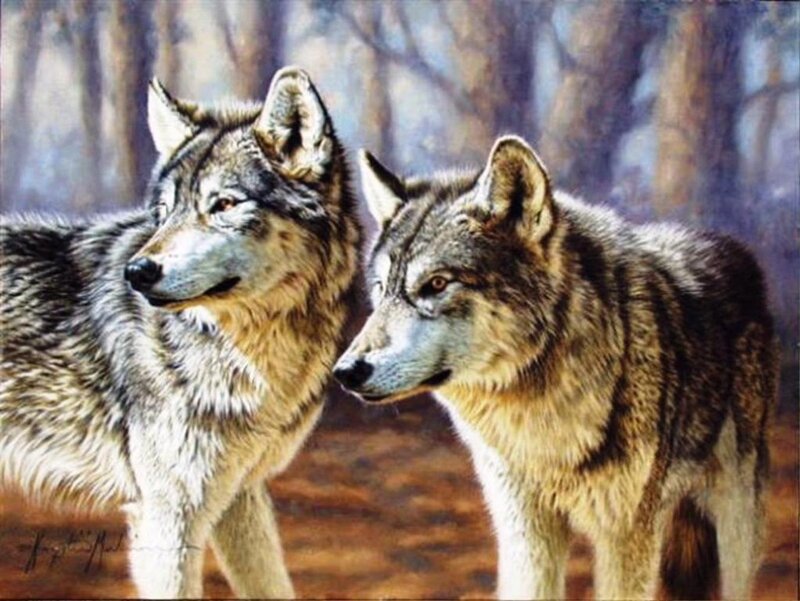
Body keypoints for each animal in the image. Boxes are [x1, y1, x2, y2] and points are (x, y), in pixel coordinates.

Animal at [0, 67, 360, 598]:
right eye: (166, 211)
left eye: (224, 204)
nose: (137, 272)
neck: (248, 355)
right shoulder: (167, 516)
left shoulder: (240, 497)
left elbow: (272, 585)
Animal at [334, 135, 777, 599]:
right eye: (381, 289)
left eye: (437, 284)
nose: (345, 372)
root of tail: (731, 247)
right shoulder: (525, 531)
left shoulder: (627, 535)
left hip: (734, 527)